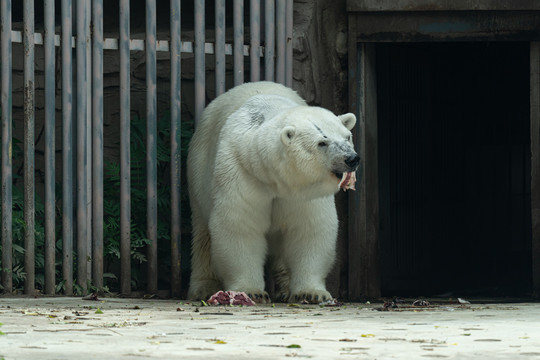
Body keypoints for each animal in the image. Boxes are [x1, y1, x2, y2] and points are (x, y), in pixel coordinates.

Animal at [188, 80, 360, 302]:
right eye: (322, 142)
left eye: (348, 137)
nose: (352, 158)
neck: (273, 178)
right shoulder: (242, 172)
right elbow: (240, 226)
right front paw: (251, 291)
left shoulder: (303, 192)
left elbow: (309, 230)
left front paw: (312, 293)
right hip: (198, 171)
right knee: (202, 234)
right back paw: (204, 287)